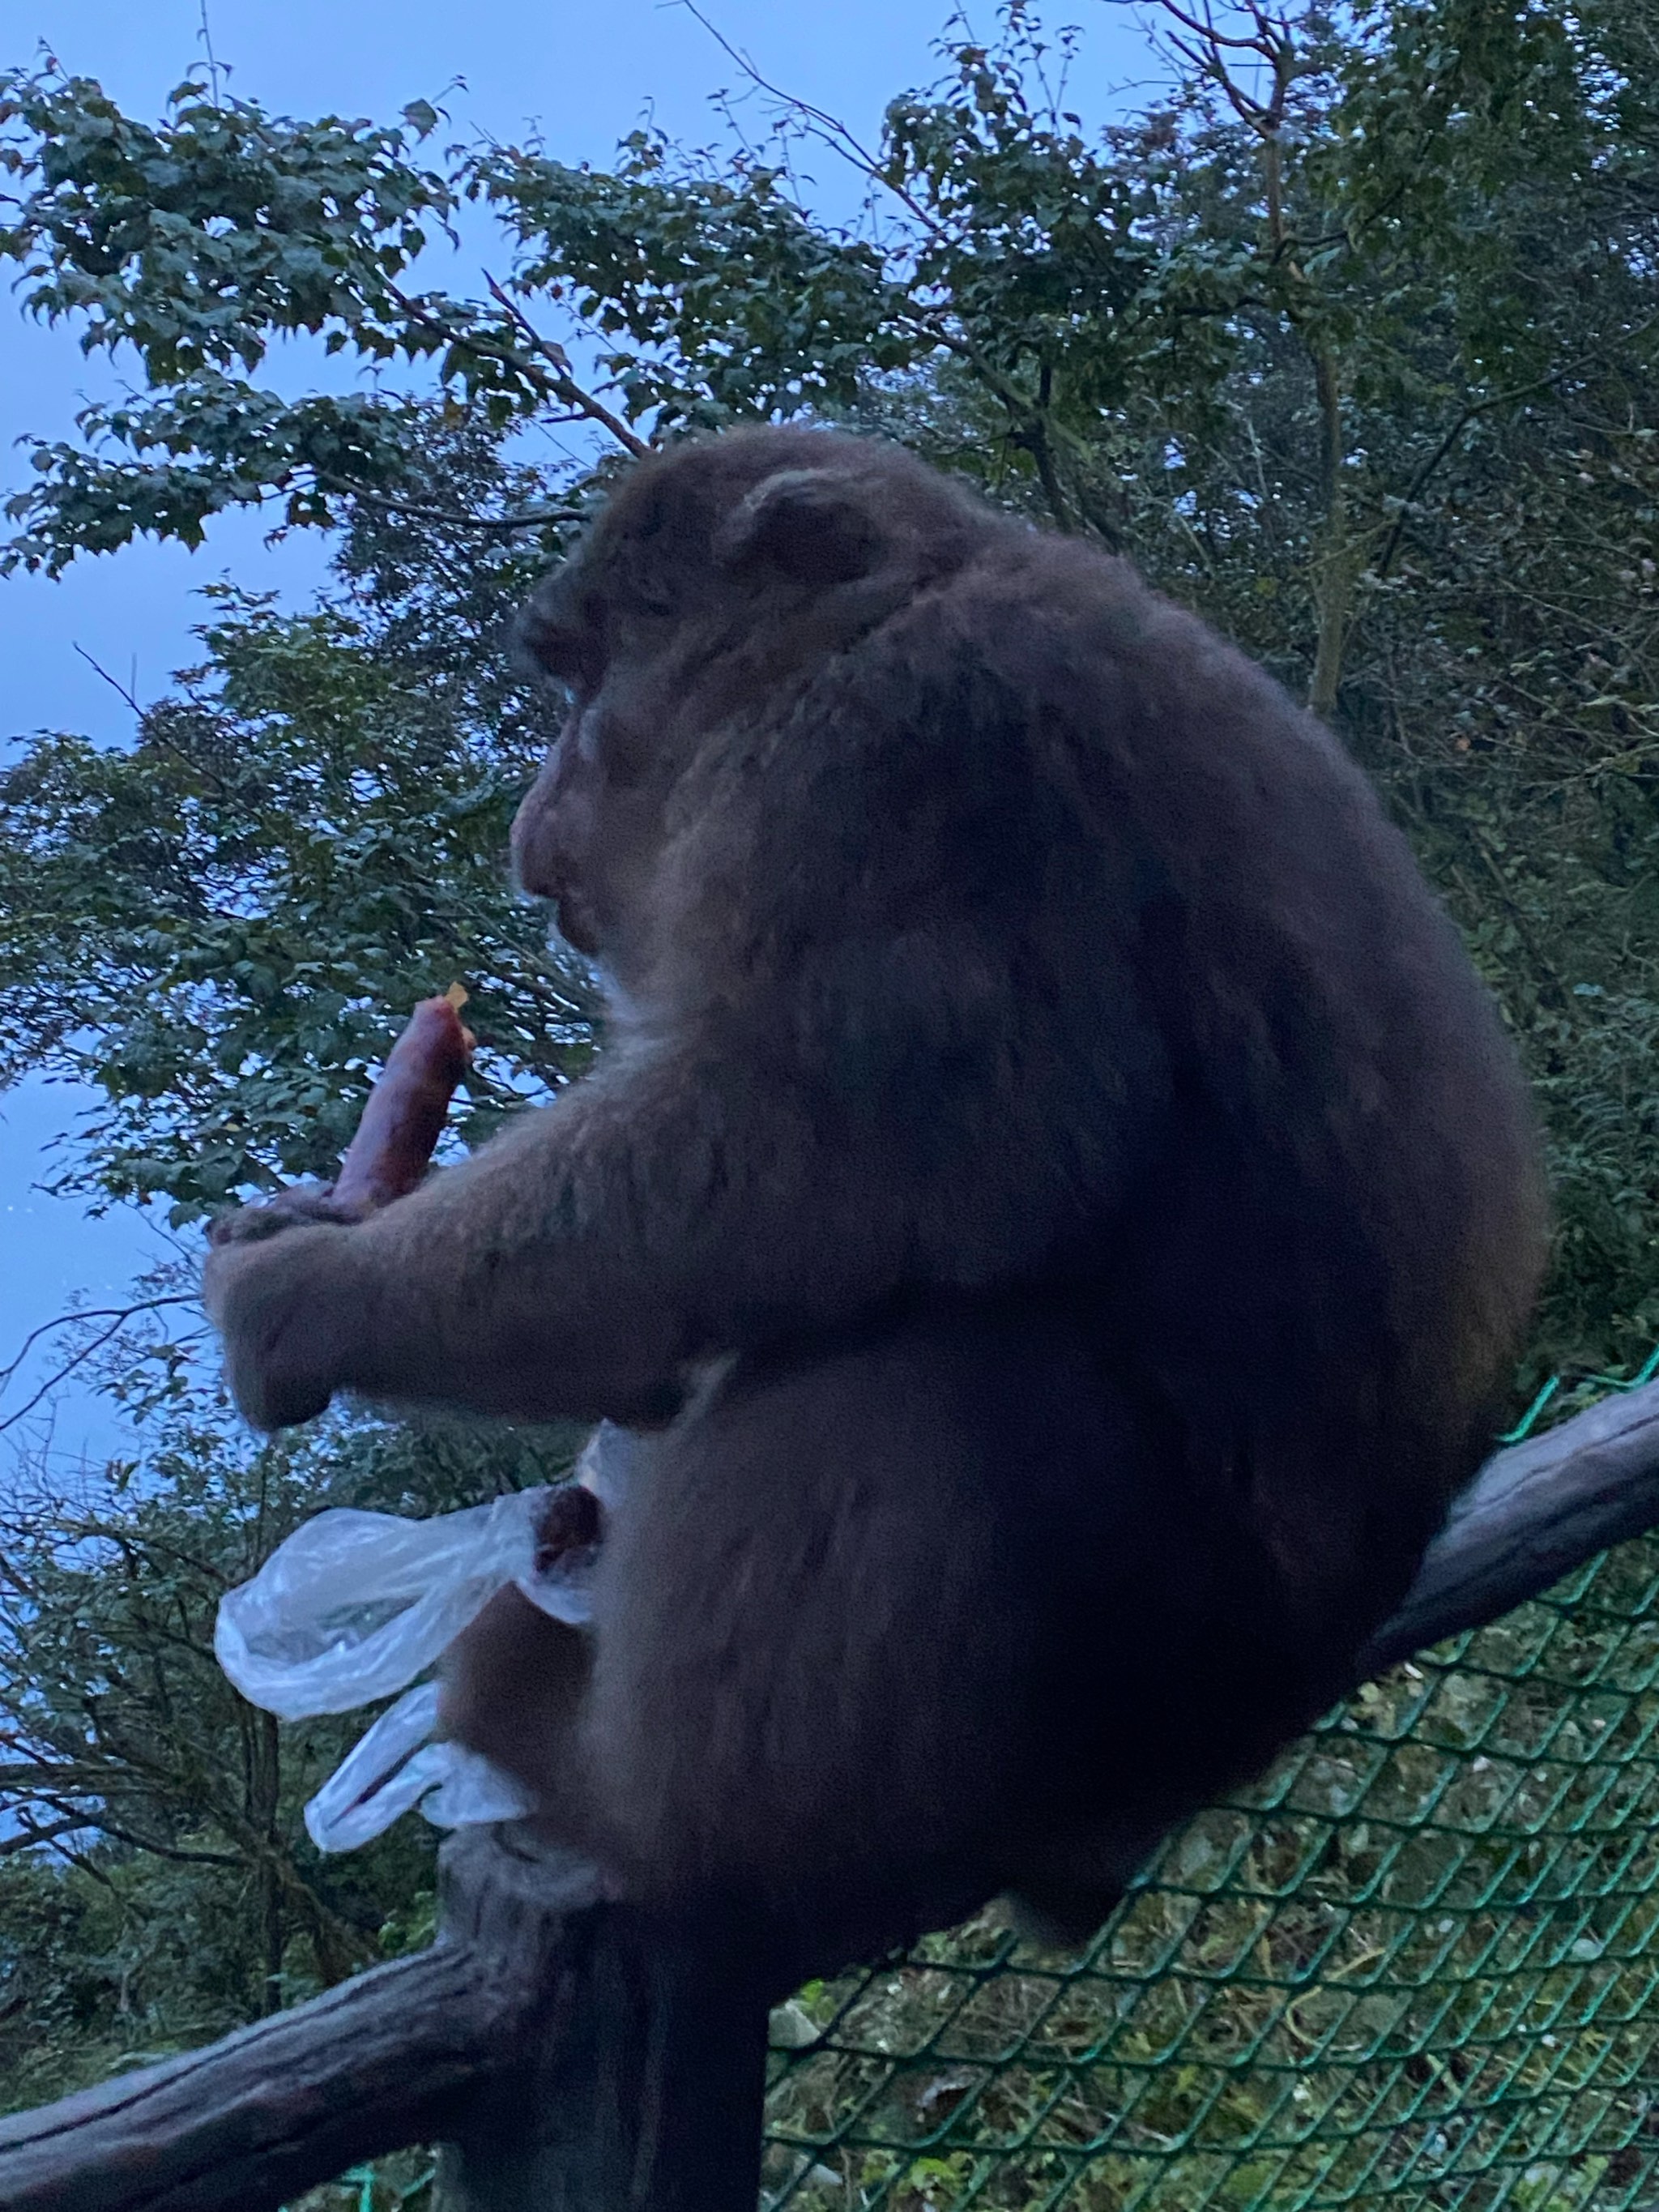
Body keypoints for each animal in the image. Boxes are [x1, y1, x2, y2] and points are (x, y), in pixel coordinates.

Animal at [204, 422, 1548, 1982]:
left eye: (587, 681)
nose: (535, 829)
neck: (889, 614)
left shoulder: (889, 764)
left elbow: (814, 1155)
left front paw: (302, 1297)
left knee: (933, 1365)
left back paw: (605, 1790)